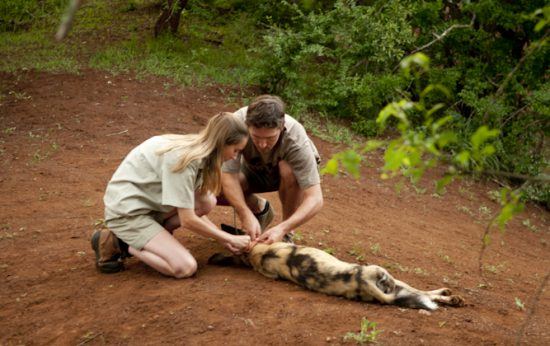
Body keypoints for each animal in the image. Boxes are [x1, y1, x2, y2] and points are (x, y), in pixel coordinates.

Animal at [211, 224, 466, 310]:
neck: (257, 254)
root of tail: (362, 281)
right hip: (386, 276)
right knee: (423, 294)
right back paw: (450, 297)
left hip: (394, 287)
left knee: (421, 295)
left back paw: (452, 299)